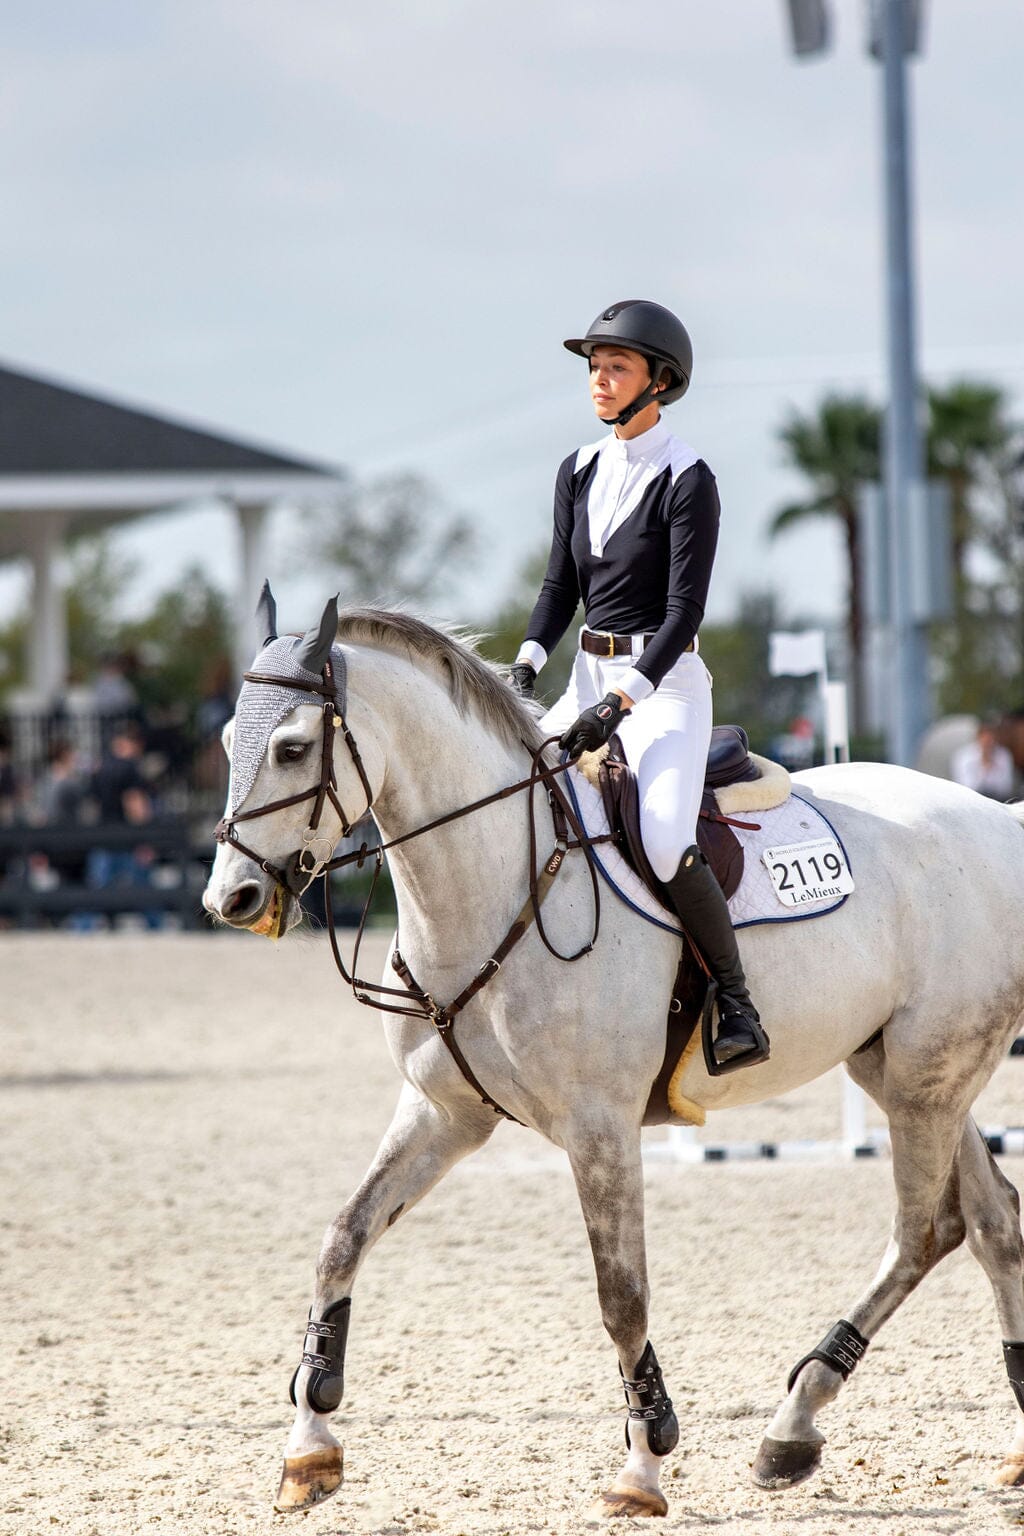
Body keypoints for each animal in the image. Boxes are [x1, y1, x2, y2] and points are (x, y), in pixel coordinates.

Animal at [202, 592, 1024, 1517]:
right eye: (228, 742)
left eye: (291, 747)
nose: (232, 899)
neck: (497, 879)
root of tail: (998, 818)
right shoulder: (444, 1114)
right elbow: (342, 1238)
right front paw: (308, 1448)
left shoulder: (599, 1127)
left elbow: (621, 1297)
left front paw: (644, 1466)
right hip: (906, 1073)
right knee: (991, 1224)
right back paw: (985, 1446)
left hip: (927, 1077)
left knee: (921, 1233)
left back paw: (791, 1426)